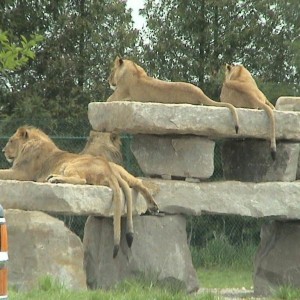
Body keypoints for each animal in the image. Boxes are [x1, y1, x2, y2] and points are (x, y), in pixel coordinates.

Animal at [0, 126, 159, 258]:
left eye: (11, 141)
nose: (3, 151)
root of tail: (107, 170)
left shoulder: (22, 173)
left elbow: (2, 172)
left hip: (71, 165)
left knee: (81, 180)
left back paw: (54, 179)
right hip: (120, 174)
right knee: (138, 182)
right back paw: (153, 206)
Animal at [106, 56, 240, 134]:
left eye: (112, 70)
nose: (108, 80)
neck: (133, 69)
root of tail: (199, 92)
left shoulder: (118, 94)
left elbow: (108, 99)